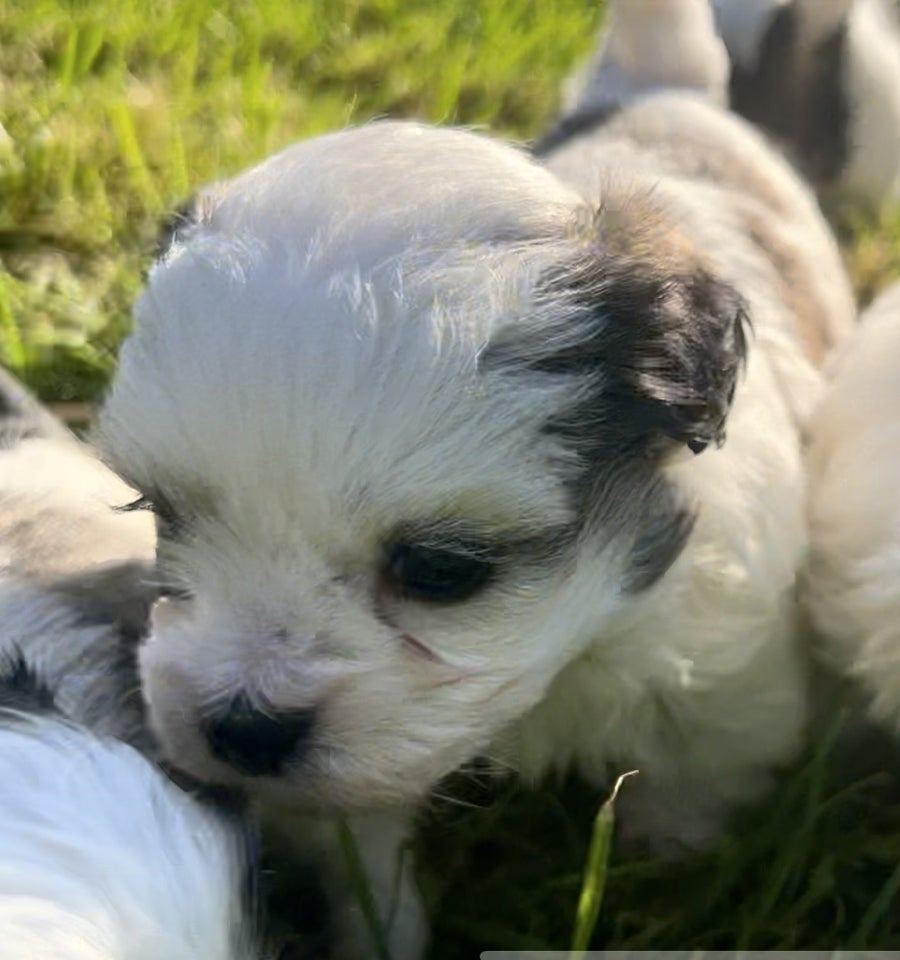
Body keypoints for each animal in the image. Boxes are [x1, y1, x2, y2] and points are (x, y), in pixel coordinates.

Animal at [96, 3, 856, 956]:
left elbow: (691, 792)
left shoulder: (721, 677)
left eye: (441, 571)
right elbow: (362, 850)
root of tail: (666, 94)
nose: (242, 727)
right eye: (162, 513)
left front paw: (669, 880)